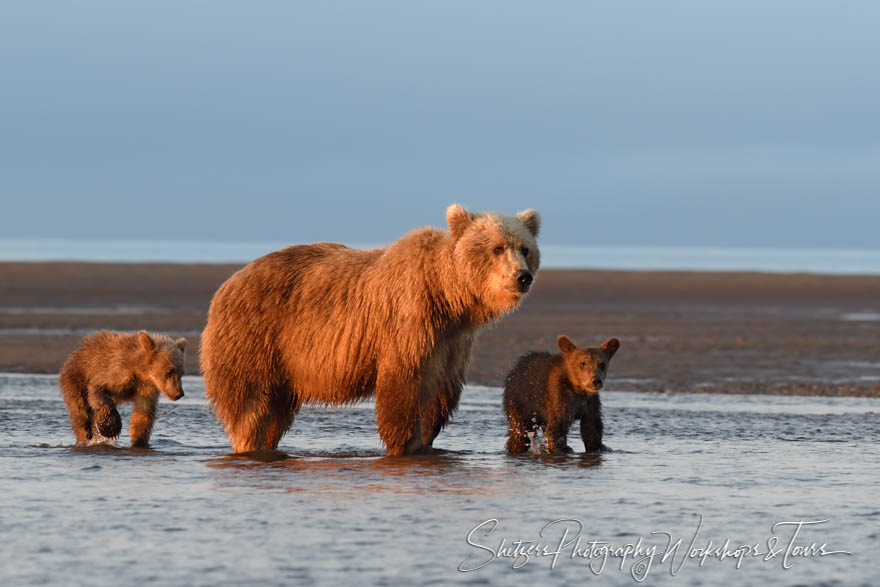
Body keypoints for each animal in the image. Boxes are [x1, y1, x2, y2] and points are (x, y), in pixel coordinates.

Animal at [202, 204, 540, 458]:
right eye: (497, 247)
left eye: (525, 248)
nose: (522, 276)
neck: (447, 295)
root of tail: (228, 283)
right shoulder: (409, 323)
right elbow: (402, 388)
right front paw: (403, 447)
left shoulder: (452, 342)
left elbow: (438, 396)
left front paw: (426, 442)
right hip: (255, 338)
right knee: (250, 406)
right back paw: (248, 446)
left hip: (284, 365)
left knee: (276, 412)